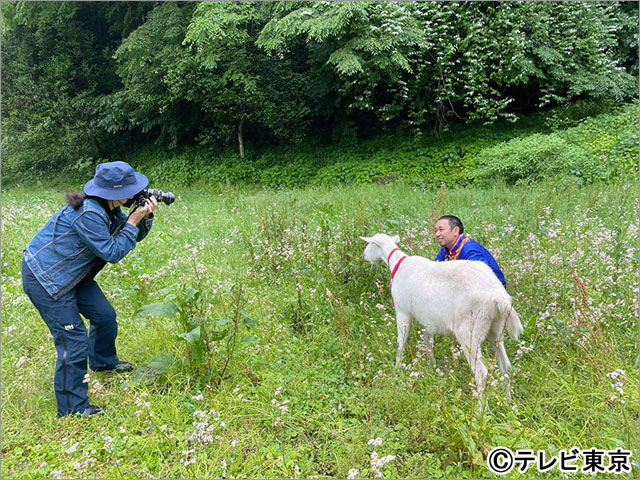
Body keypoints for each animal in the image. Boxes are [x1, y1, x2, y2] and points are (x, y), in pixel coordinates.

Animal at [362, 234, 524, 400]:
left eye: (370, 244)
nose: (364, 255)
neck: (398, 263)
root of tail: (498, 295)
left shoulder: (402, 311)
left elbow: (400, 343)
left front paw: (396, 370)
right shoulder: (428, 320)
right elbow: (428, 343)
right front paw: (431, 368)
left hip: (470, 331)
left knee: (481, 373)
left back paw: (480, 406)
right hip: (496, 328)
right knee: (506, 367)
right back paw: (508, 401)